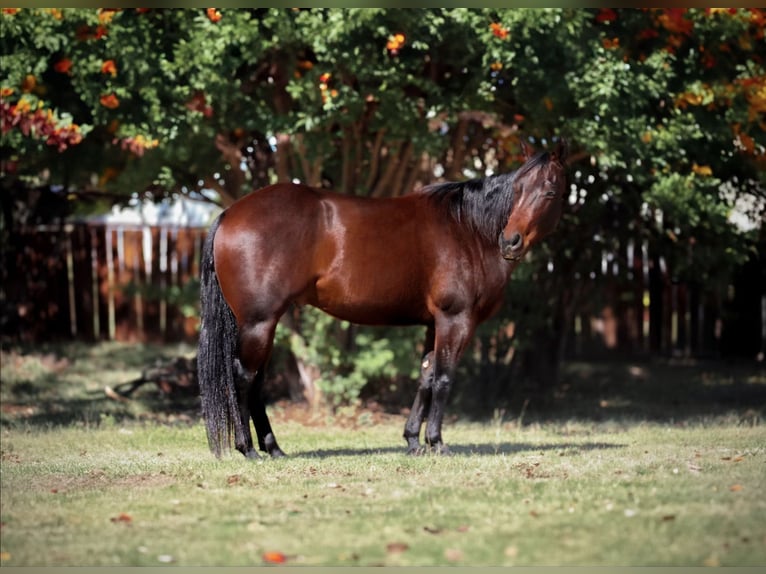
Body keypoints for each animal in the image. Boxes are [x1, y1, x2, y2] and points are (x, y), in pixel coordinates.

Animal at [198, 142, 568, 462]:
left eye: (549, 192)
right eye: (518, 190)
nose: (510, 242)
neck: (469, 230)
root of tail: (230, 213)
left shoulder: (434, 323)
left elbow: (427, 376)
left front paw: (413, 441)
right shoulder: (456, 319)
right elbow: (444, 378)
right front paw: (437, 442)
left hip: (264, 324)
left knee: (256, 380)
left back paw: (273, 448)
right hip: (259, 322)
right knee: (244, 377)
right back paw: (248, 449)